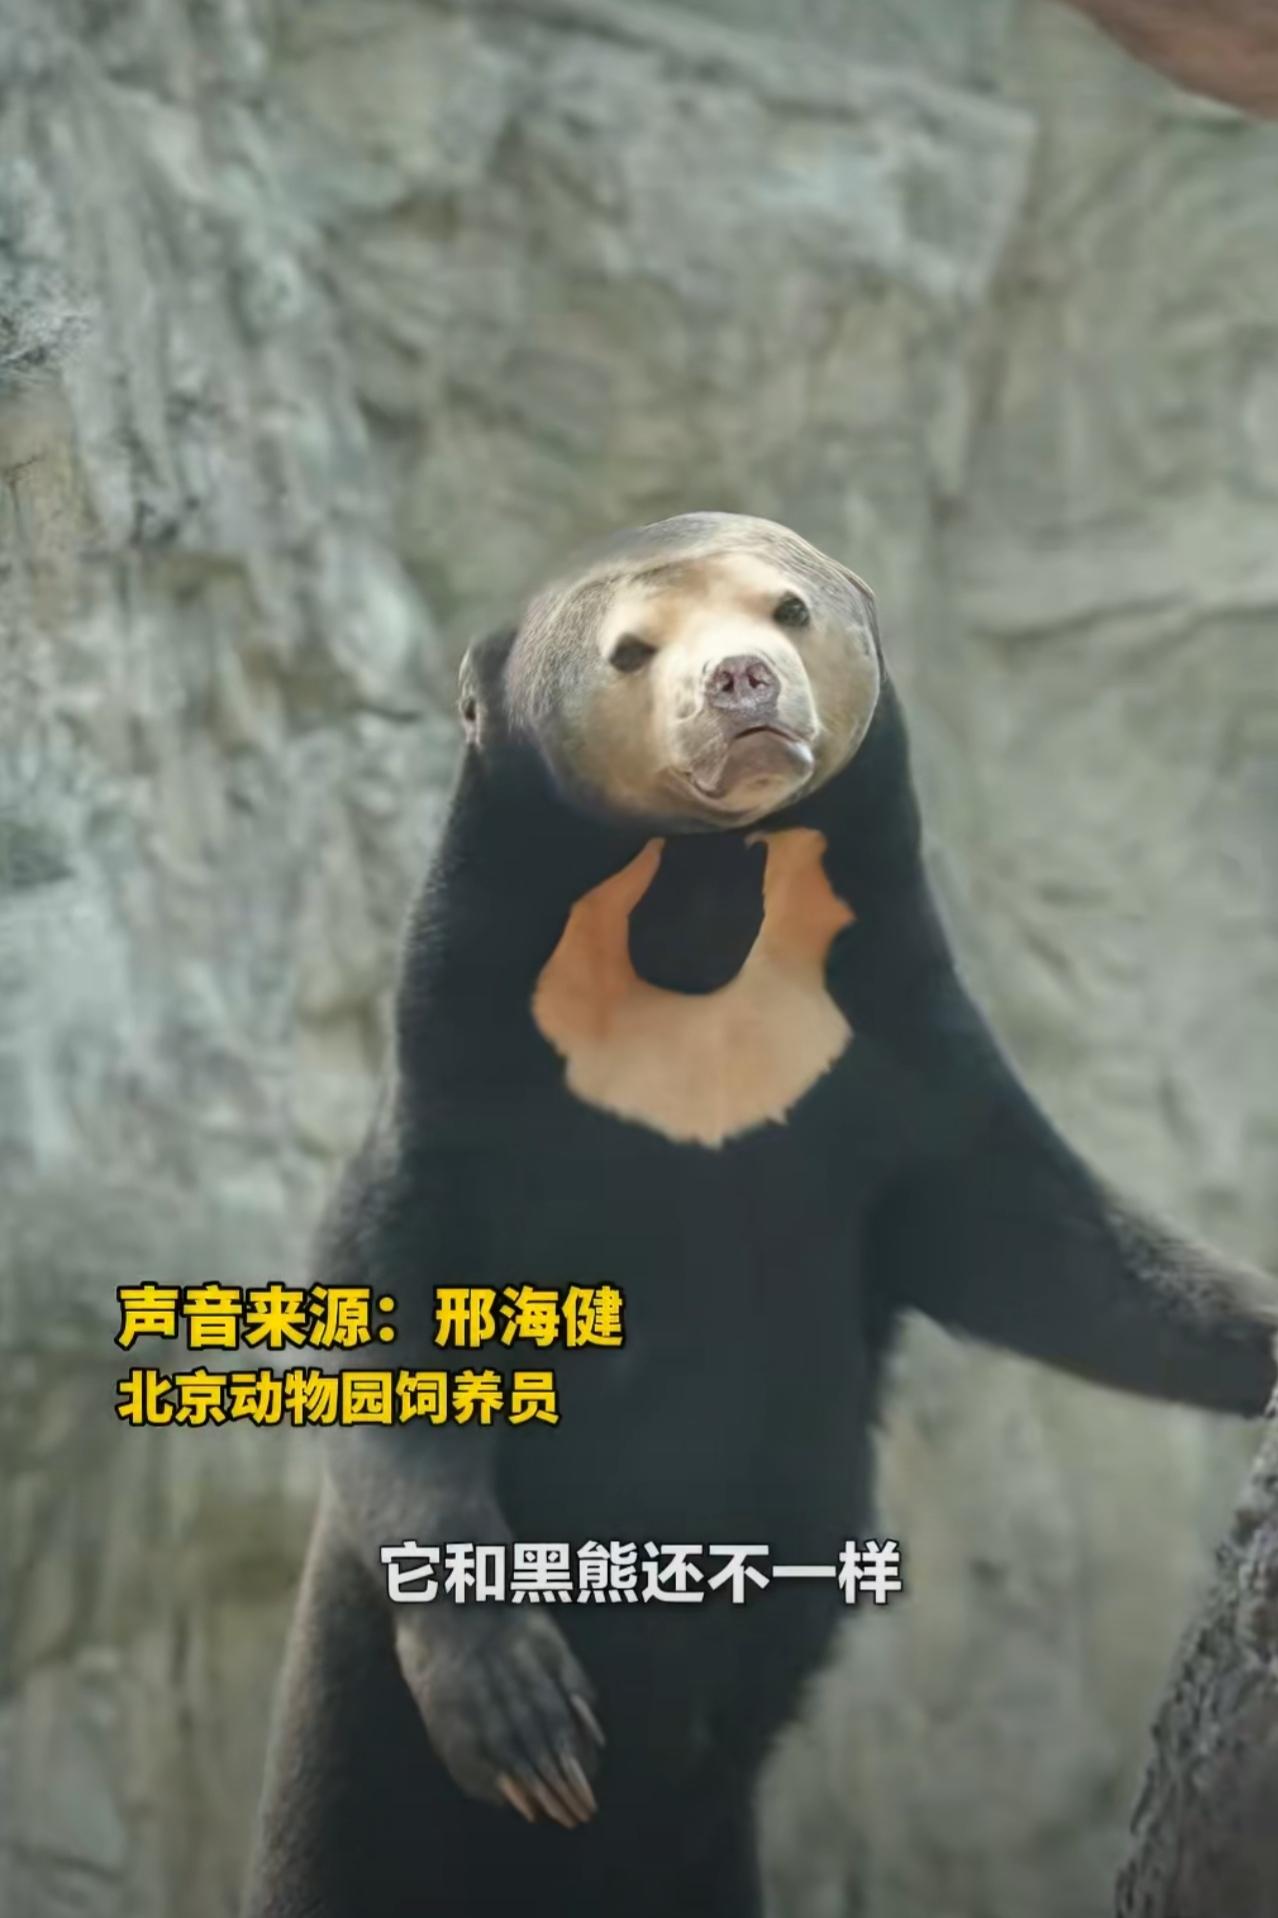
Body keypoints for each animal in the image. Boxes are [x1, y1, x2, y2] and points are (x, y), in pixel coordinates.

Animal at [244, 512, 1277, 1918]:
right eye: (631, 650)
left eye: (789, 609)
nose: (741, 682)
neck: (699, 918)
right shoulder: (462, 1089)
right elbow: (388, 1294)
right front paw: (520, 1712)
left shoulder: (889, 1058)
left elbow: (1061, 1255)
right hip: (350, 1758)